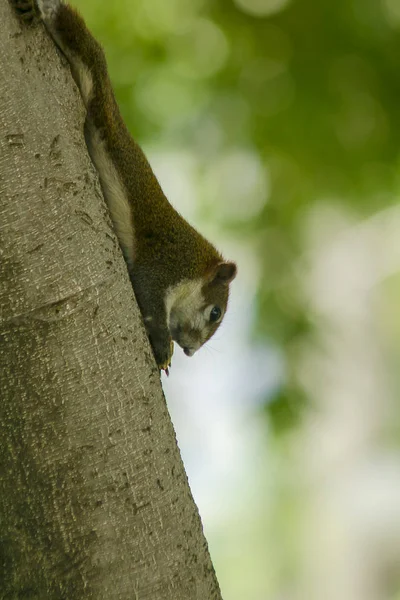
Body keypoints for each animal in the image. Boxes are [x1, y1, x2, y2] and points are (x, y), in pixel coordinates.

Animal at [10, 0, 238, 376]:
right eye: (215, 312)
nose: (191, 350)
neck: (195, 266)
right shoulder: (164, 265)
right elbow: (149, 302)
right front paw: (163, 349)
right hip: (93, 75)